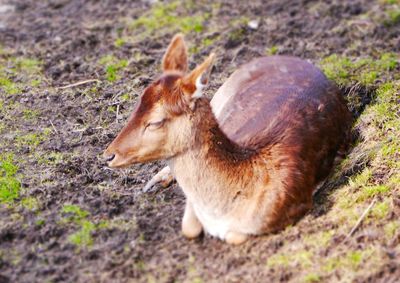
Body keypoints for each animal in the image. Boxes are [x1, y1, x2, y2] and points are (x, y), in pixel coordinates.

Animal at [102, 34, 350, 245]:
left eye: (155, 122)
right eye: (136, 105)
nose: (109, 155)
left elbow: (231, 235)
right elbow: (189, 227)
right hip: (221, 93)